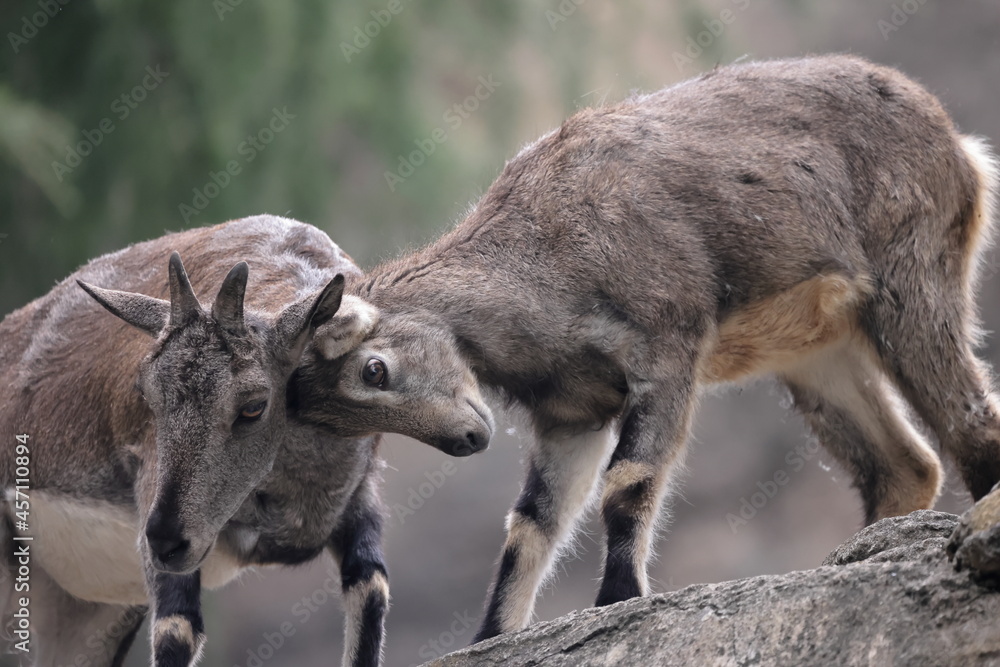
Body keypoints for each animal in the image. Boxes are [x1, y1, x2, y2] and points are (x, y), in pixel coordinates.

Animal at [2, 219, 390, 667]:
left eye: (253, 406)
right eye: (146, 394)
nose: (167, 543)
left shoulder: (358, 495)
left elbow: (371, 590)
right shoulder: (151, 487)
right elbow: (178, 628)